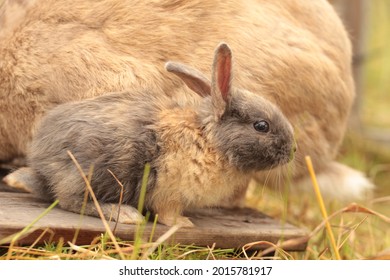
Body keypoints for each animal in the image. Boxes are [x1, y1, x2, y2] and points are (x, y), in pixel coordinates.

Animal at [3, 44, 296, 228]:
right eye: (261, 126)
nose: (292, 151)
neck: (209, 141)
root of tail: (41, 166)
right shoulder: (169, 192)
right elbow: (167, 213)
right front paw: (183, 224)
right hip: (95, 172)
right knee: (71, 200)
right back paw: (125, 214)